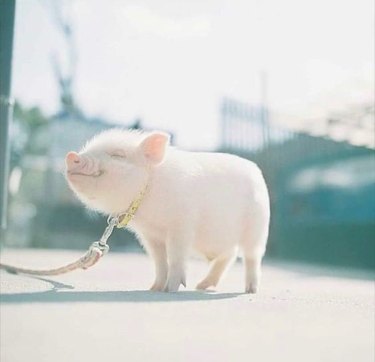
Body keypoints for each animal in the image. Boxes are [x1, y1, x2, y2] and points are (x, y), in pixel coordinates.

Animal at [65, 129, 270, 292]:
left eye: (118, 155)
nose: (71, 155)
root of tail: (256, 171)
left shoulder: (182, 225)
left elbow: (175, 256)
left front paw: (170, 289)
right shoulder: (149, 235)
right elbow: (159, 260)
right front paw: (154, 288)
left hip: (258, 227)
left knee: (251, 257)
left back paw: (250, 290)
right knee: (229, 256)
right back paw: (201, 286)